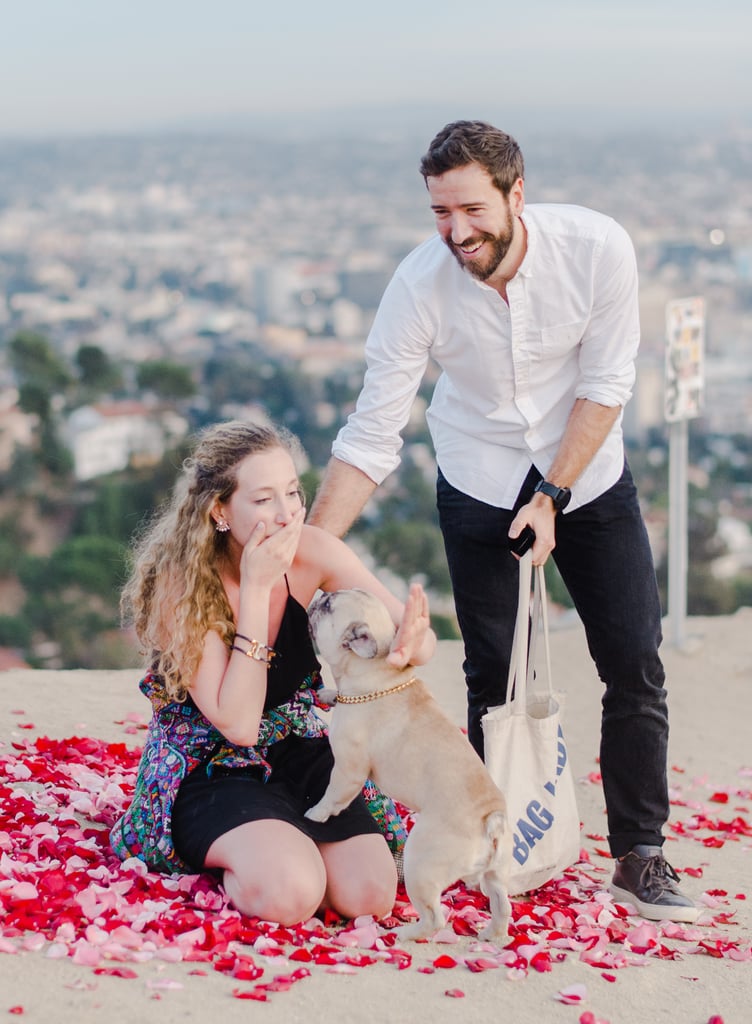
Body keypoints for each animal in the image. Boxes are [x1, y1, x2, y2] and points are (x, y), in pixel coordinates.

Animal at [307, 589, 512, 937]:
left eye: (328, 605)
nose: (319, 594)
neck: (378, 674)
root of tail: (490, 818)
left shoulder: (349, 768)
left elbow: (333, 796)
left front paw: (317, 813)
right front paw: (328, 693)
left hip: (421, 864)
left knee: (435, 918)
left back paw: (406, 933)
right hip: (494, 875)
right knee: (501, 903)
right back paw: (492, 934)